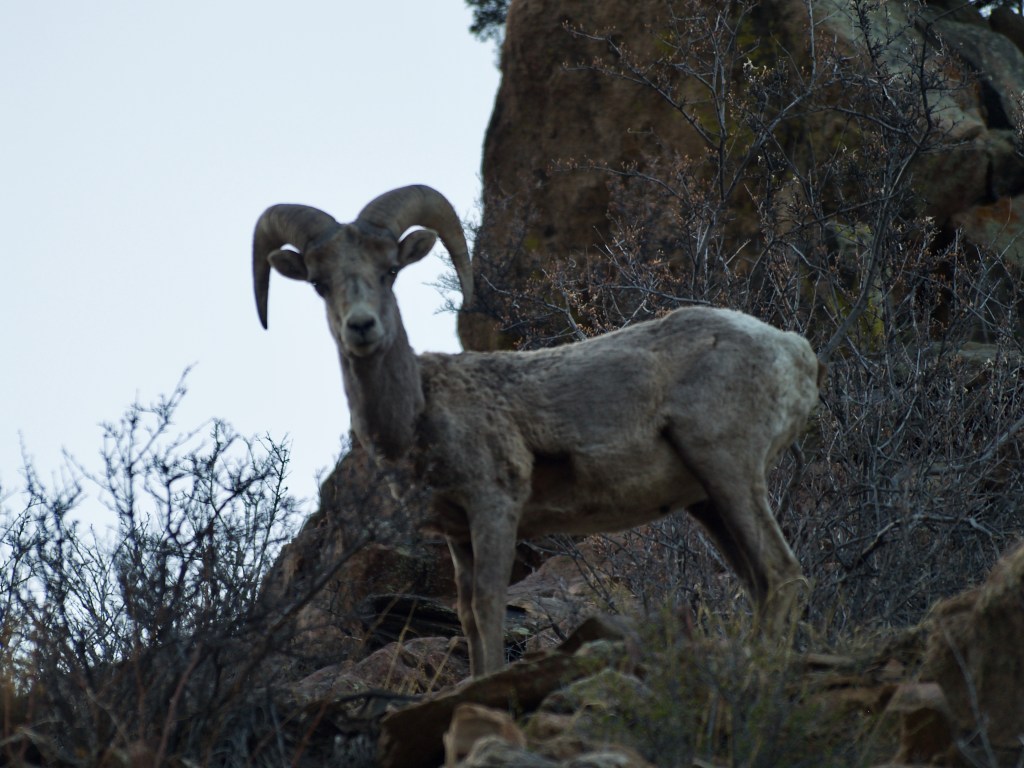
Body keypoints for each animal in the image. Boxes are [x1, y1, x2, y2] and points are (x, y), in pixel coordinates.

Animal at [252, 184, 823, 677]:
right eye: (320, 282)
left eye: (390, 270)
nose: (362, 327)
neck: (419, 412)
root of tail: (795, 351)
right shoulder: (459, 535)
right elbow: (468, 616)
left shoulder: (495, 507)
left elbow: (488, 607)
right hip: (708, 502)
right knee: (761, 584)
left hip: (730, 470)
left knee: (782, 574)